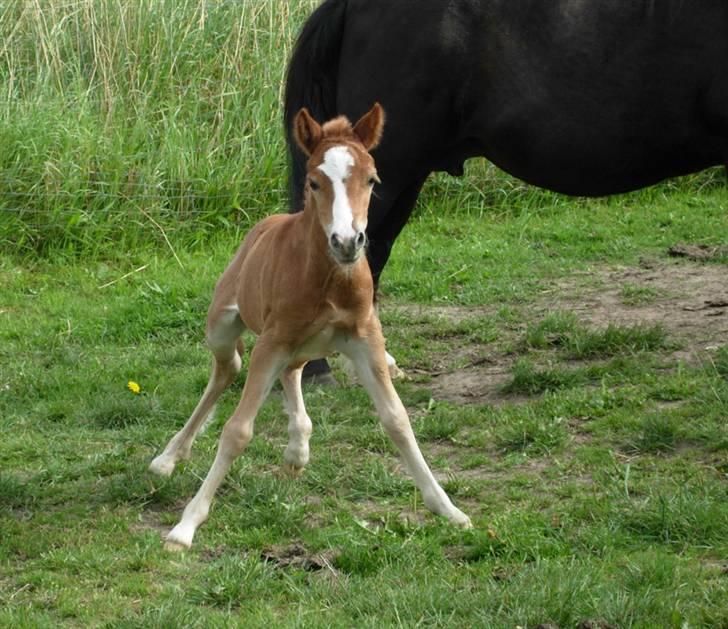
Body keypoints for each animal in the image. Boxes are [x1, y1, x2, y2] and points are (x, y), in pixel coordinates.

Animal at [149, 105, 472, 548]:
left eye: (372, 179)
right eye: (315, 182)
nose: (348, 241)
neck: (328, 278)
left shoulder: (364, 337)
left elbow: (397, 419)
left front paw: (448, 508)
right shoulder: (271, 340)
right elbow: (237, 431)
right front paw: (185, 527)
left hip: (306, 344)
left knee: (292, 371)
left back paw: (297, 448)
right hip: (223, 325)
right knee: (228, 368)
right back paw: (168, 457)